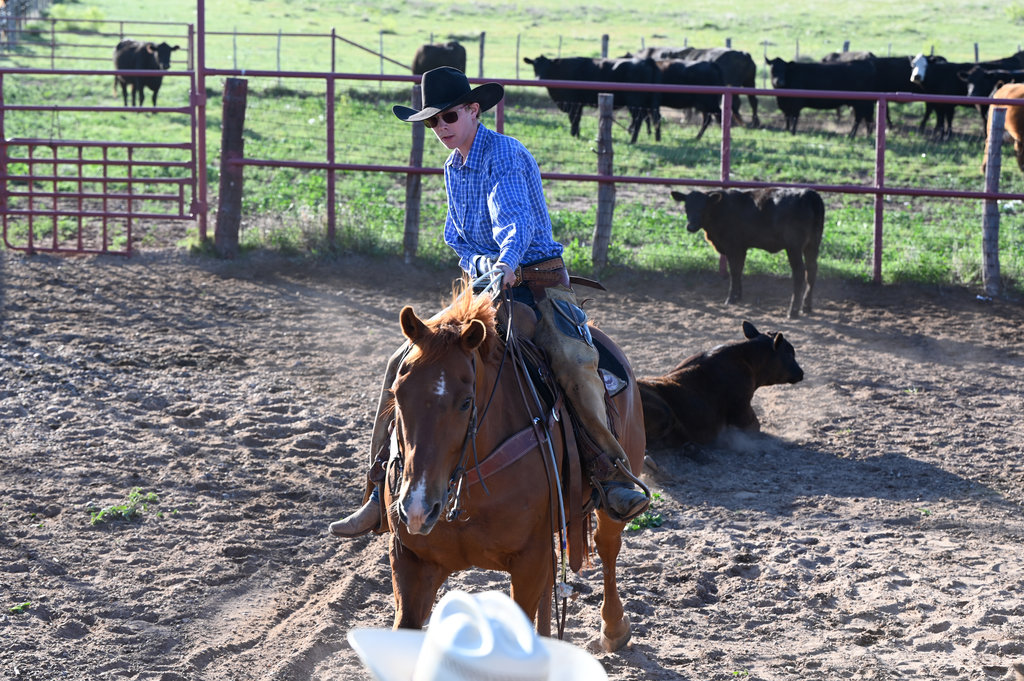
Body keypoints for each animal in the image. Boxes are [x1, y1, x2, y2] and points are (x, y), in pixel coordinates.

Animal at [380, 285, 646, 652]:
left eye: (466, 402)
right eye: (397, 393)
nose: (418, 508)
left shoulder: (528, 562)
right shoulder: (411, 560)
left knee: (608, 545)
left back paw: (614, 628)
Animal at [523, 55, 660, 144]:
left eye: (547, 66)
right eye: (534, 66)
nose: (539, 79)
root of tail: (647, 60)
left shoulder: (572, 103)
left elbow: (574, 118)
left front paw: (574, 134)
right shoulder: (578, 104)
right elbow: (577, 119)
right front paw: (577, 134)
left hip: (634, 102)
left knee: (639, 119)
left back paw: (632, 140)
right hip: (648, 103)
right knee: (653, 117)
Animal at [638, 320, 804, 452]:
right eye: (789, 354)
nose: (801, 372)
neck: (747, 359)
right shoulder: (742, 411)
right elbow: (755, 427)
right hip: (665, 413)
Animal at [670, 187, 825, 319]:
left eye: (704, 207)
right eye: (686, 207)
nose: (691, 226)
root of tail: (808, 193)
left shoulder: (732, 246)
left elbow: (734, 271)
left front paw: (731, 298)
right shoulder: (741, 247)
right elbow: (739, 270)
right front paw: (738, 296)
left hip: (794, 247)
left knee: (799, 272)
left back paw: (792, 311)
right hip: (813, 244)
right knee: (812, 270)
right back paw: (807, 307)